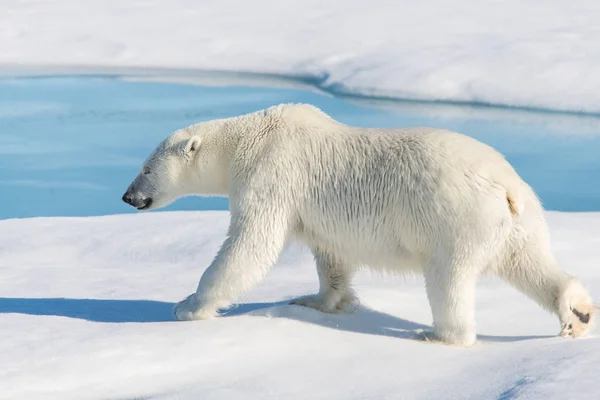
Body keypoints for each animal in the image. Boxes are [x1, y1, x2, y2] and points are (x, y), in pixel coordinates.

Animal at [123, 104, 596, 346]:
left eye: (145, 168)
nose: (128, 196)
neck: (249, 138)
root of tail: (506, 186)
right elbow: (331, 256)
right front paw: (314, 300)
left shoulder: (271, 173)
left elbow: (251, 243)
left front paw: (188, 305)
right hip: (518, 220)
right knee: (529, 262)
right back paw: (577, 313)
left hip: (454, 217)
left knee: (449, 278)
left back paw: (436, 334)